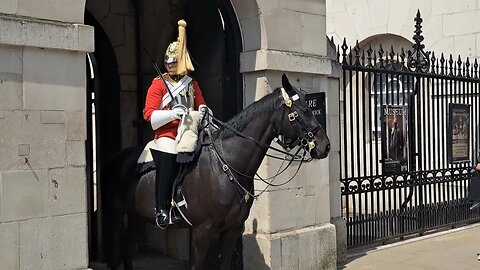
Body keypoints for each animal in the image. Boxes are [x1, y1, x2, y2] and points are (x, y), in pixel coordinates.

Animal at [104, 74, 330, 270]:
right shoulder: (202, 231)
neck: (227, 166)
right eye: (302, 110)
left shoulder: (232, 230)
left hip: (137, 215)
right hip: (117, 212)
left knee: (127, 248)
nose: (325, 146)